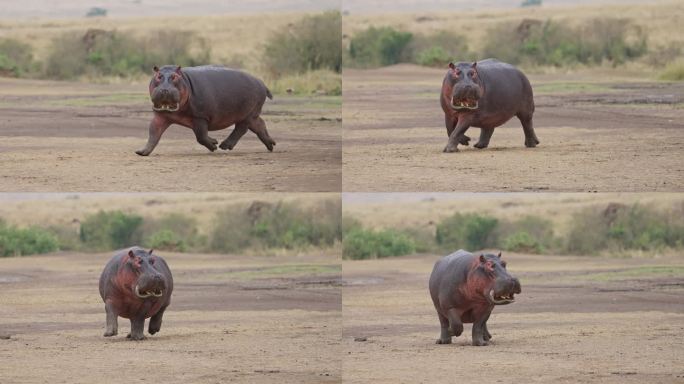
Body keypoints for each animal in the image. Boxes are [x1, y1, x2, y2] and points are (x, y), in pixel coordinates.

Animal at [135, 65, 276, 156]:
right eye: (158, 76)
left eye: (174, 77)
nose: (164, 89)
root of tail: (261, 83)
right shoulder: (161, 117)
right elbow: (153, 133)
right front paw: (141, 152)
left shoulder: (200, 116)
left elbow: (201, 136)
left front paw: (214, 145)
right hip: (252, 115)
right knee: (260, 125)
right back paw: (271, 145)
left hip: (247, 114)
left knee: (241, 128)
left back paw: (224, 146)